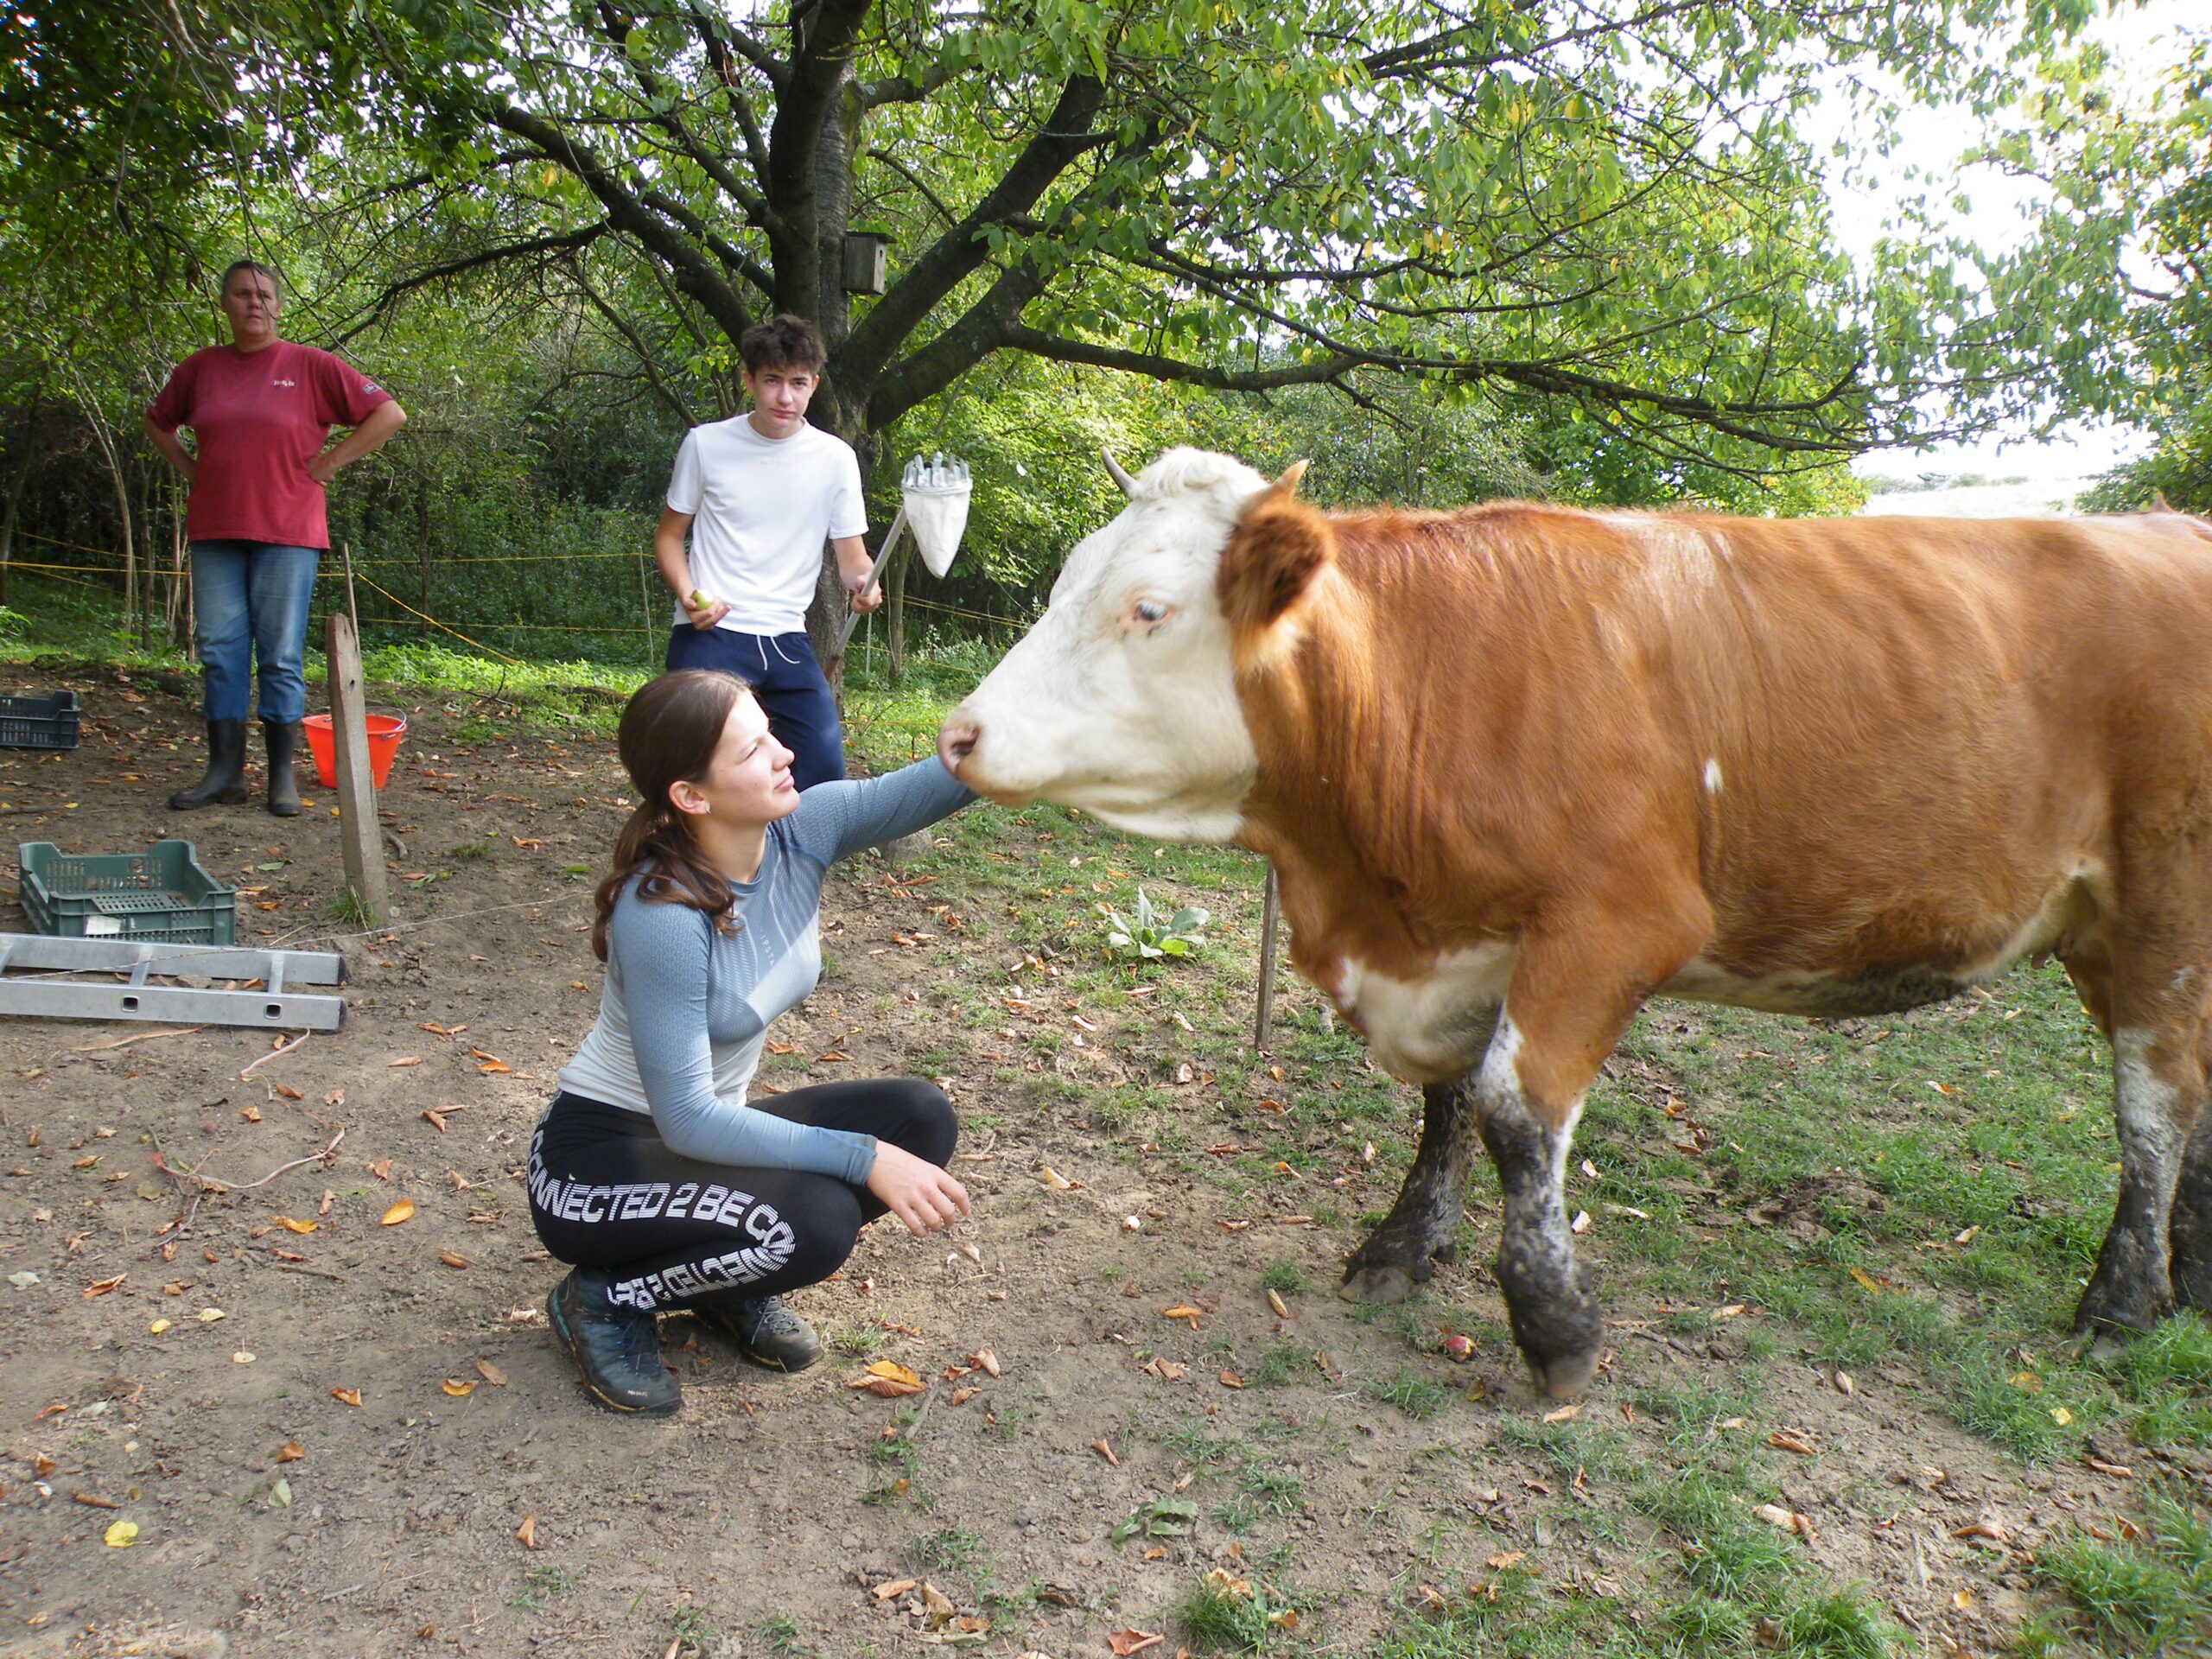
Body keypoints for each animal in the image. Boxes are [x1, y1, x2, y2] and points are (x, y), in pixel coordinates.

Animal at [938, 446, 2212, 1400]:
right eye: (1064, 582)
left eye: (1147, 610)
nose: (957, 735)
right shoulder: (1461, 946)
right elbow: (1448, 1101)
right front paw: (1404, 1246)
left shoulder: (1617, 922)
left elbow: (1515, 1109)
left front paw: (1553, 1325)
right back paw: (2190, 1275)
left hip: (2165, 901)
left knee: (2153, 1103)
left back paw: (2120, 1303)